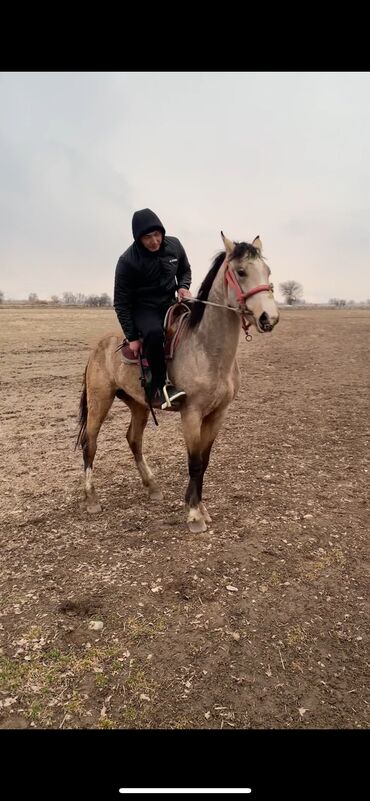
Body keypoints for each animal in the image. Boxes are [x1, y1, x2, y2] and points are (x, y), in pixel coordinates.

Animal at [76, 231, 278, 532]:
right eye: (241, 271)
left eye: (267, 270)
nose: (269, 318)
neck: (206, 348)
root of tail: (100, 346)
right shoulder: (191, 414)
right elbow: (194, 462)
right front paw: (194, 515)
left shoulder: (218, 414)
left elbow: (204, 462)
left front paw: (200, 507)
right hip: (100, 401)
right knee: (91, 443)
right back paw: (91, 499)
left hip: (138, 405)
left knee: (133, 439)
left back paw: (152, 486)